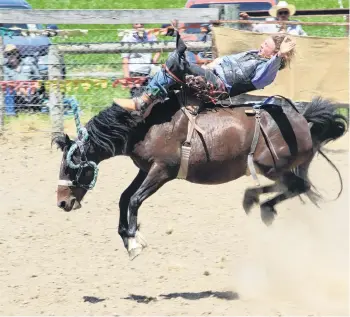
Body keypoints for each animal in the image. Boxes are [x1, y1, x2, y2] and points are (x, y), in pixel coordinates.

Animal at [54, 93, 348, 260]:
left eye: (71, 167)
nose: (62, 203)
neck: (147, 126)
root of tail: (303, 119)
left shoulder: (162, 170)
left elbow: (135, 200)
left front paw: (134, 241)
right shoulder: (145, 169)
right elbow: (124, 198)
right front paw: (128, 238)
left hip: (272, 165)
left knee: (297, 185)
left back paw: (260, 204)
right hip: (276, 167)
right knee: (296, 186)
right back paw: (257, 202)